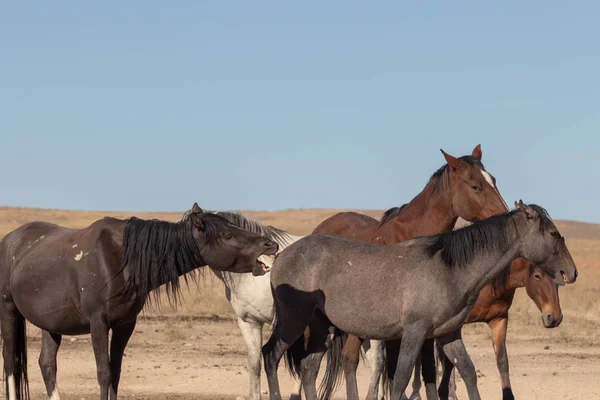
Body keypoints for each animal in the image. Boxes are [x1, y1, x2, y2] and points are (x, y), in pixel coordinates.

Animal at [0, 203, 278, 400]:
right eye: (226, 234)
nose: (270, 244)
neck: (119, 259)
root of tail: (10, 240)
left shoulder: (125, 324)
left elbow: (115, 373)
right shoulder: (98, 323)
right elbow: (103, 373)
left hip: (51, 324)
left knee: (47, 365)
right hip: (9, 311)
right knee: (10, 362)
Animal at [262, 202, 576, 400]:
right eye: (552, 233)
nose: (571, 272)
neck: (448, 269)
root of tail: (282, 255)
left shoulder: (448, 334)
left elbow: (467, 372)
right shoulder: (414, 333)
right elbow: (401, 380)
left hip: (320, 328)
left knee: (308, 368)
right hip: (294, 322)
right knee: (270, 355)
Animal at [284, 145, 508, 400]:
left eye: (494, 180)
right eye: (475, 186)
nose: (506, 213)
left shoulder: (425, 329)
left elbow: (427, 370)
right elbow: (394, 372)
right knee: (342, 361)